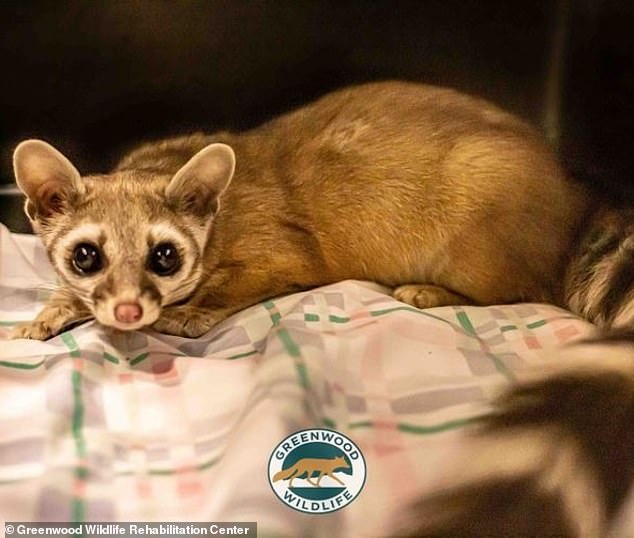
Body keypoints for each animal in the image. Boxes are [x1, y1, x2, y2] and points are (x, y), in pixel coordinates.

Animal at [8, 80, 588, 338]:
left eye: (164, 255)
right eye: (85, 255)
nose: (128, 311)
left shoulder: (283, 251)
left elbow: (237, 282)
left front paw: (192, 310)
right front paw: (51, 311)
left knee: (522, 291)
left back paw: (431, 290)